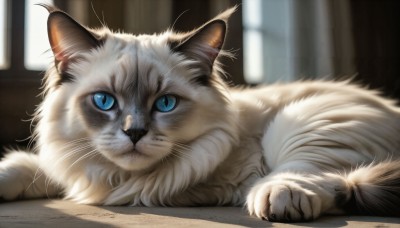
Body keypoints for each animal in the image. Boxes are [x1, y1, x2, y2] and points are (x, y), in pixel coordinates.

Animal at [0, 5, 400, 223]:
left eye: (165, 104)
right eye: (104, 101)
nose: (134, 133)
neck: (115, 179)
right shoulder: (72, 166)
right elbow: (20, 166)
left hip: (301, 122)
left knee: (325, 181)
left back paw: (275, 199)